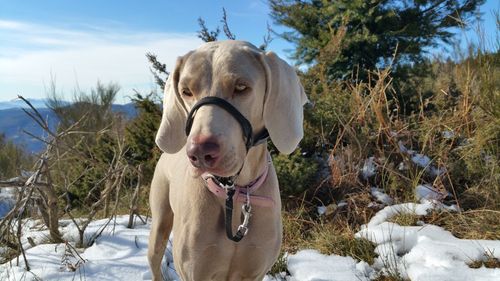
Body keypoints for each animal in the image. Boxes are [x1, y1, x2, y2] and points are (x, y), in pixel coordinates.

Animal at [146, 40, 306, 280]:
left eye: (241, 87)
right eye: (186, 91)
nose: (199, 152)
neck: (236, 193)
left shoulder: (255, 272)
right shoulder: (195, 272)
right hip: (159, 223)